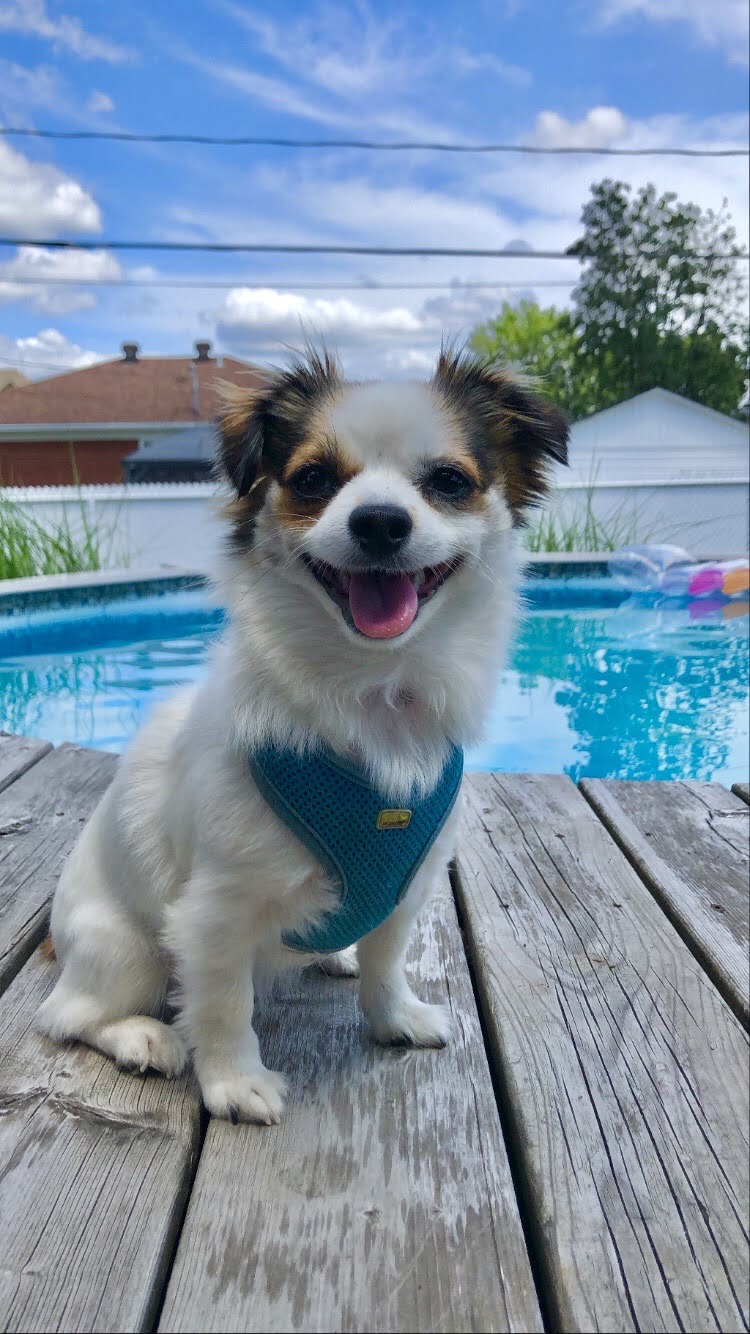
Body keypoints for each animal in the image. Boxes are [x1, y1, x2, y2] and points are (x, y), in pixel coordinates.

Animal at [36, 347, 568, 1125]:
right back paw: (142, 1036)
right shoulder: (215, 910)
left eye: (448, 482)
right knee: (68, 1017)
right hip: (123, 952)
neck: (375, 695)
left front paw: (393, 1015)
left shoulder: (407, 880)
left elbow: (388, 959)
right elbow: (224, 1004)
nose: (380, 522)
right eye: (314, 479)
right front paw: (235, 1081)